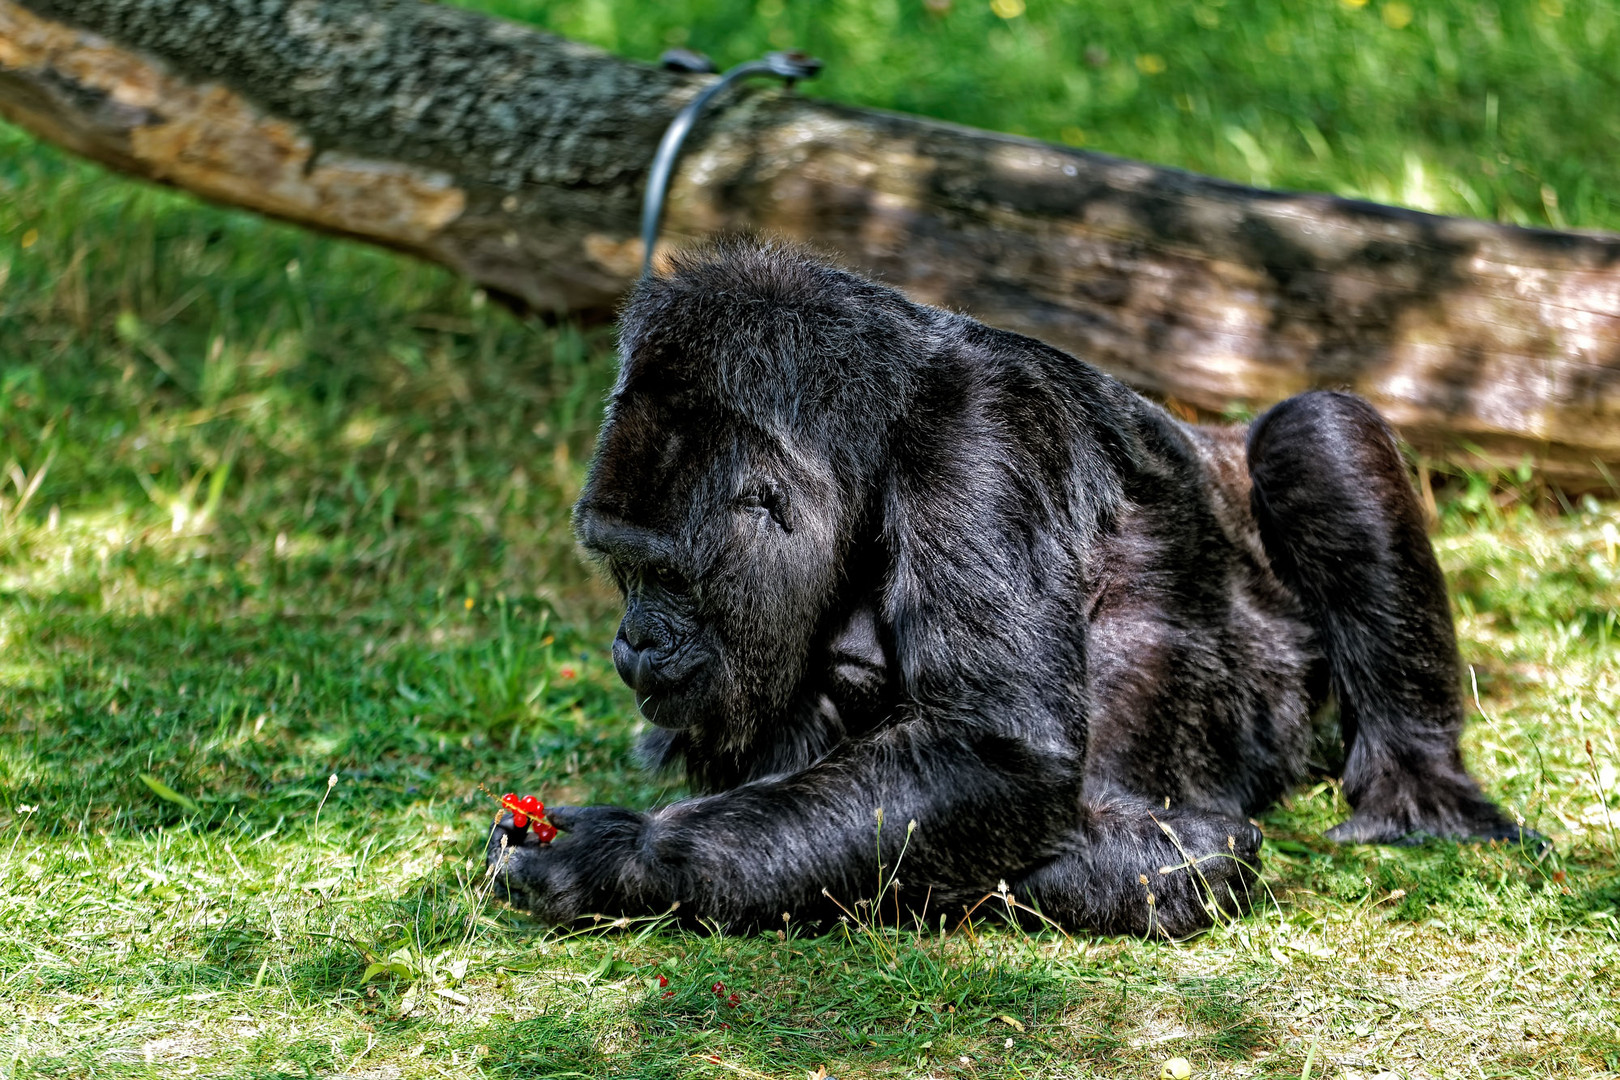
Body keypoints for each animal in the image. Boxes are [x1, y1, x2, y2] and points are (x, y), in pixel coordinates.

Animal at [486, 238, 1522, 939]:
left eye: (660, 572)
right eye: (621, 569)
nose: (633, 641)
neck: (874, 431)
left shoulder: (979, 434)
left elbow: (994, 752)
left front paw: (613, 860)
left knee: (1318, 434)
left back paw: (1416, 794)